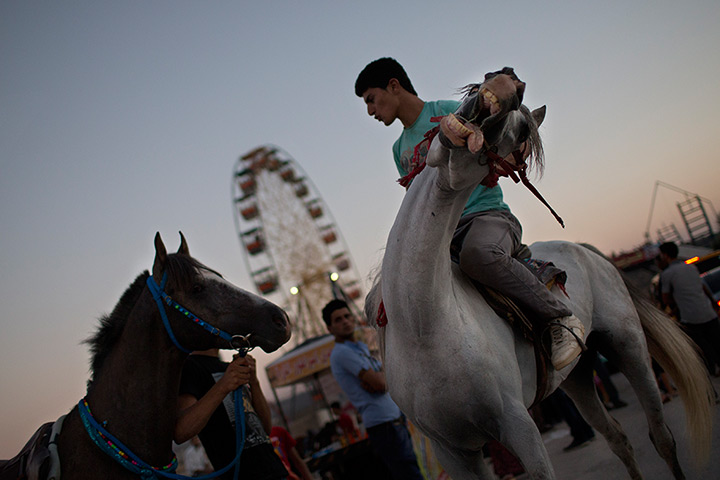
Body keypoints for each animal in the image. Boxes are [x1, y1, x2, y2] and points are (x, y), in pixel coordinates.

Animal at [368, 68, 716, 480]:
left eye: (522, 132)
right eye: (475, 87)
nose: (504, 82)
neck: (425, 324)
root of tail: (586, 251)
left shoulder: (518, 425)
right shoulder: (452, 450)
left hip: (628, 345)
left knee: (661, 437)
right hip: (578, 375)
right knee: (618, 438)